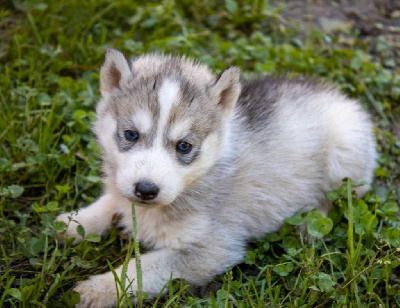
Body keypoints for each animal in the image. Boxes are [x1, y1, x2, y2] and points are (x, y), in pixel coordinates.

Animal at [56, 49, 376, 306]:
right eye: (131, 134)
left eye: (184, 146)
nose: (146, 189)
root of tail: (339, 96)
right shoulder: (123, 192)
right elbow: (110, 203)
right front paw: (72, 224)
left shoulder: (212, 249)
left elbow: (138, 269)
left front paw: (95, 290)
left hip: (344, 157)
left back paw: (309, 224)